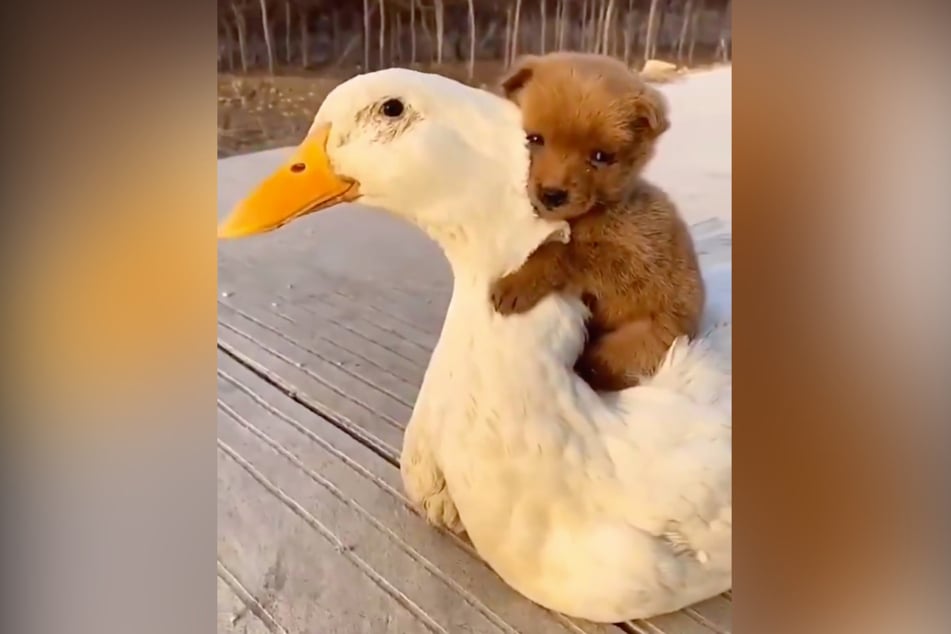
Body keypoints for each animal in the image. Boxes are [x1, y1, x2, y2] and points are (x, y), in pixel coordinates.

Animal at [490, 53, 708, 390]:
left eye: (601, 156)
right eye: (534, 138)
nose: (553, 194)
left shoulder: (631, 259)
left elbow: (563, 251)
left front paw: (516, 284)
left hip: (643, 339)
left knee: (604, 366)